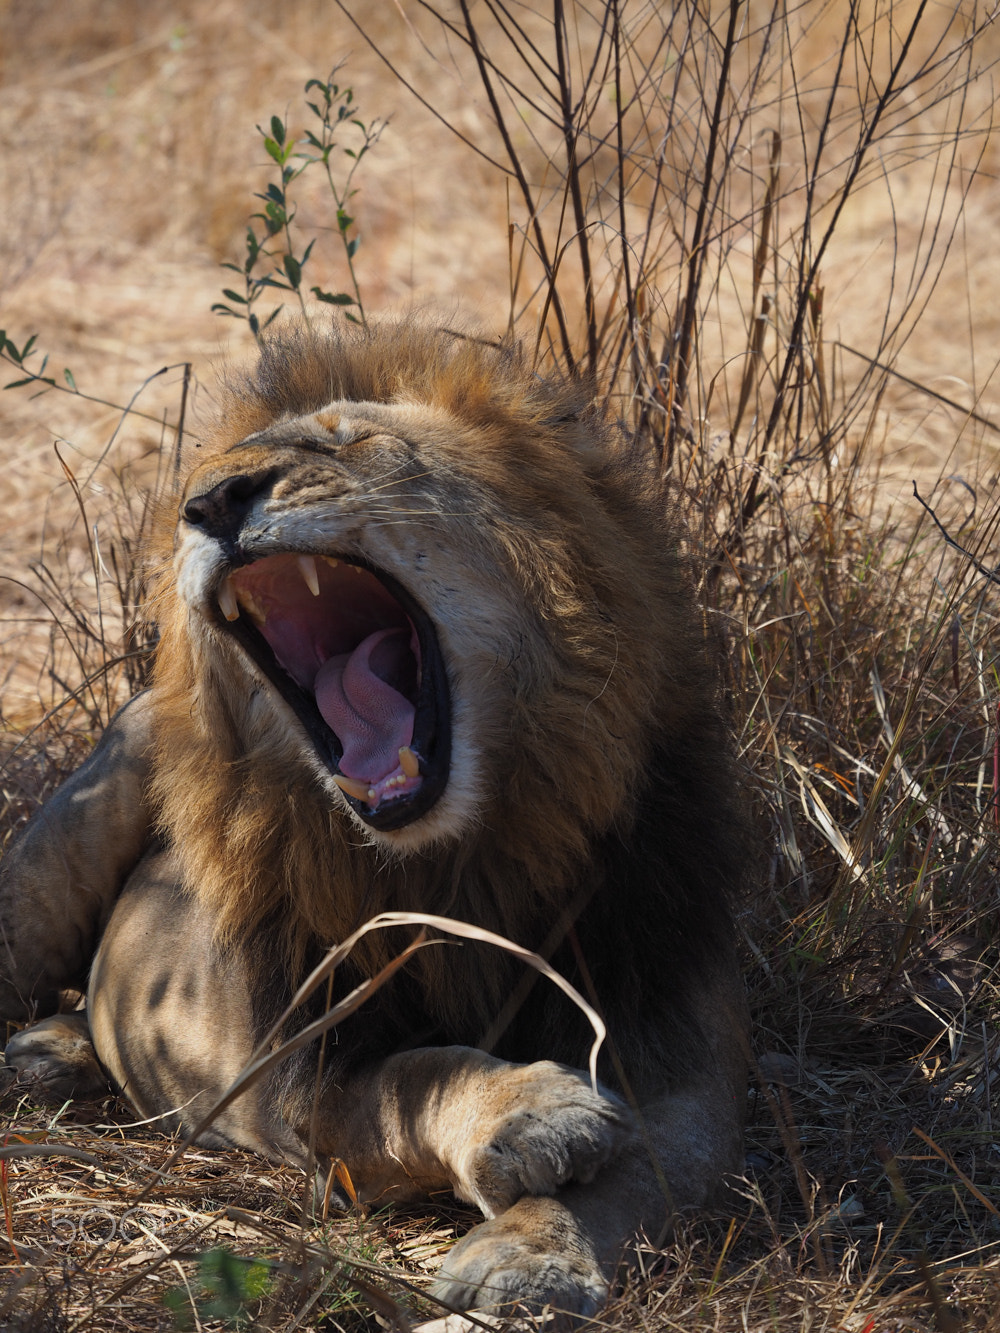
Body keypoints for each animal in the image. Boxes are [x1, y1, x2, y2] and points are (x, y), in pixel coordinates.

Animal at [2, 321, 750, 1319]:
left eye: (345, 440)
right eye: (198, 481)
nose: (209, 503)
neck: (463, 857)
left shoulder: (680, 1049)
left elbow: (643, 1168)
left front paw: (529, 1255)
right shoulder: (298, 1074)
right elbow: (418, 1072)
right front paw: (528, 1112)